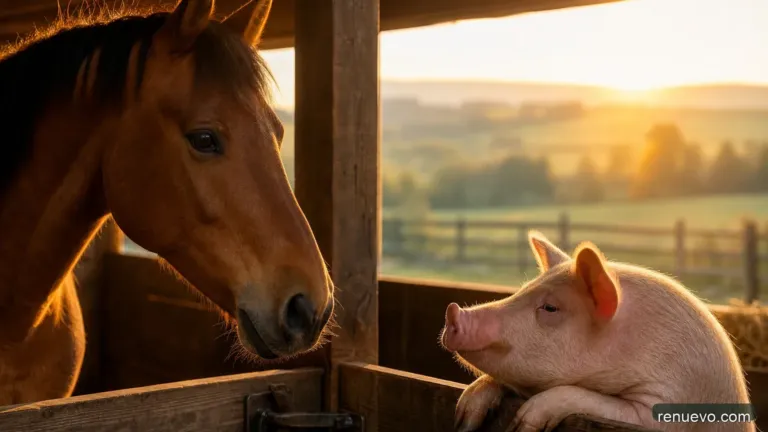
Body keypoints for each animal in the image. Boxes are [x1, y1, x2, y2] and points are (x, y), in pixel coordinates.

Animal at [440, 231, 753, 432]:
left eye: (550, 308)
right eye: (522, 289)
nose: (454, 311)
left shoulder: (665, 408)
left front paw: (522, 425)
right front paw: (463, 418)